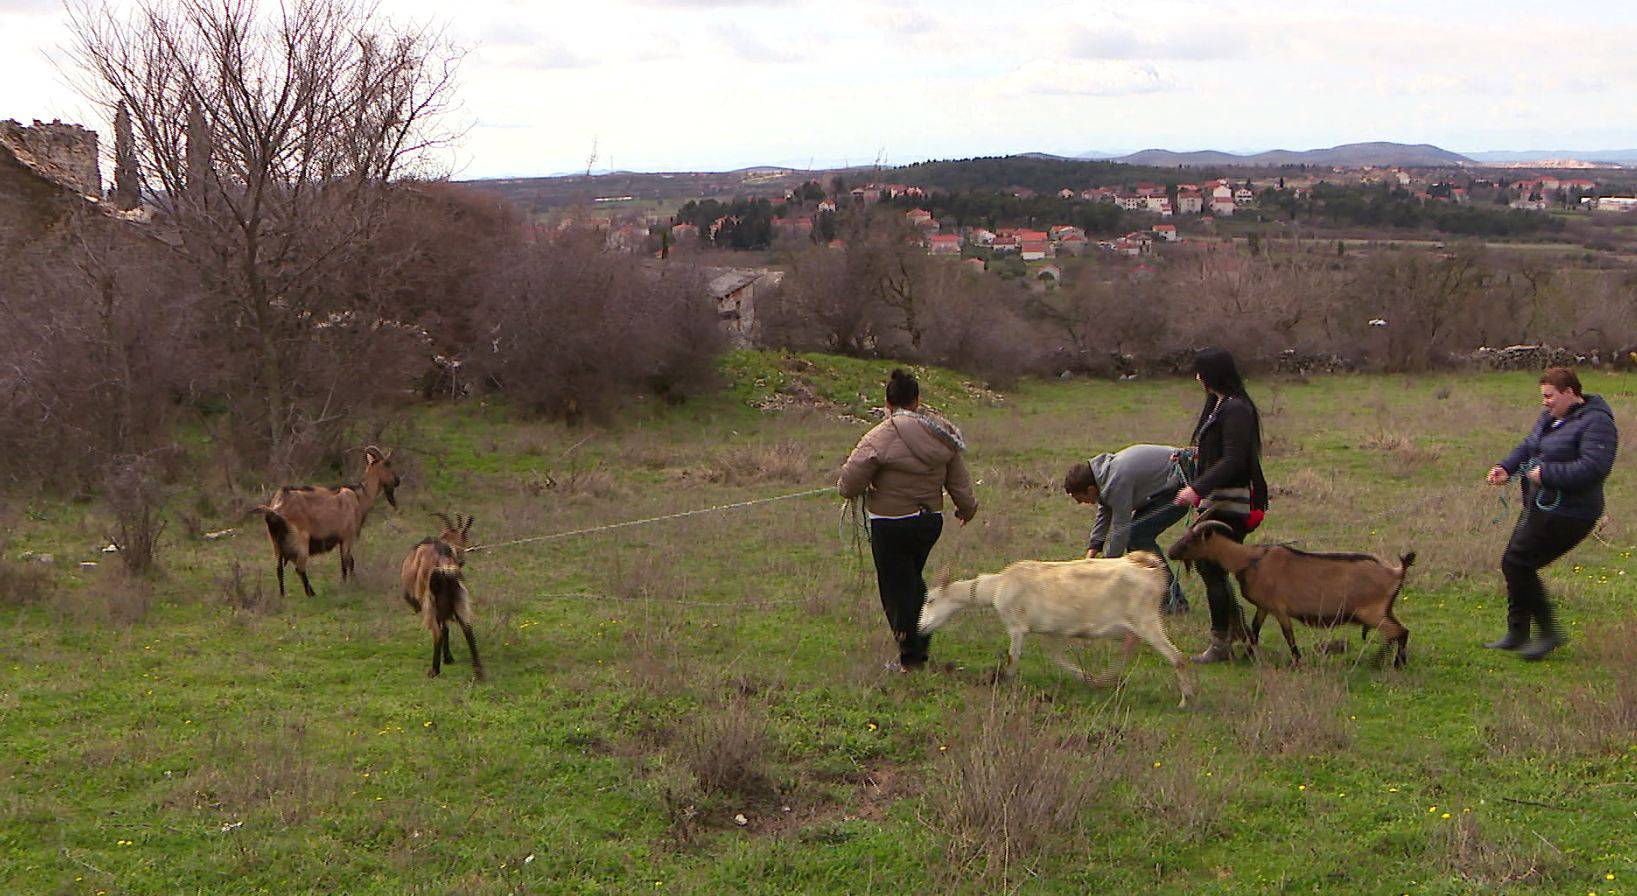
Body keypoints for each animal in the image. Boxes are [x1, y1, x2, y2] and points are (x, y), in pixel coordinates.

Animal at [252, 445, 399, 596]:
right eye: (388, 464)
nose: (397, 481)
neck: (359, 497)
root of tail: (276, 508)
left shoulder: (342, 539)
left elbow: (349, 561)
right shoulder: (347, 537)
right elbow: (346, 562)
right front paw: (346, 585)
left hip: (276, 543)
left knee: (279, 569)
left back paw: (283, 596)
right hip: (301, 540)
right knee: (299, 568)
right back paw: (311, 594)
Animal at [916, 553, 1198, 707]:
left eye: (930, 600)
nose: (920, 628)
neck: (997, 587)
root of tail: (1150, 569)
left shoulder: (1016, 626)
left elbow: (1013, 658)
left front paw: (1005, 681)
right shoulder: (1051, 632)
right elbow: (1057, 659)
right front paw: (1086, 678)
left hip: (1147, 621)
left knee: (1178, 657)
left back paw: (1185, 700)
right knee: (1130, 647)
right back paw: (1105, 681)